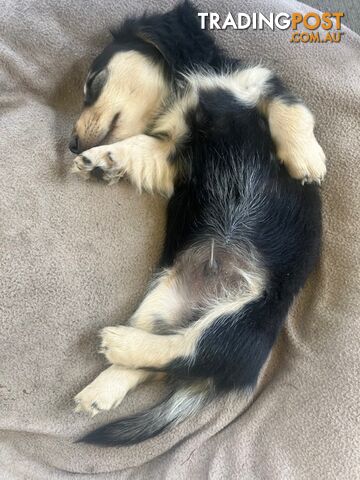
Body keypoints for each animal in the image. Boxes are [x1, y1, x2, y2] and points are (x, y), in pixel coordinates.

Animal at [69, 1, 326, 448]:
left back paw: (115, 347)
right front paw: (102, 160)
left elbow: (290, 108)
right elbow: (134, 147)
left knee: (187, 354)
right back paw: (102, 384)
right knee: (168, 357)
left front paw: (306, 159)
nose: (70, 146)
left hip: (239, 321)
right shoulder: (166, 154)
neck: (185, 94)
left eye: (92, 83)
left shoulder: (261, 85)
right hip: (162, 300)